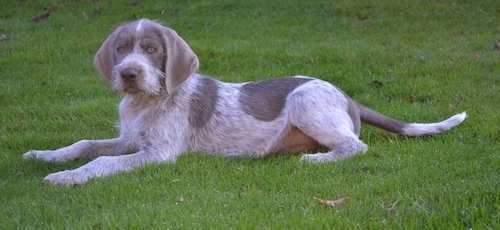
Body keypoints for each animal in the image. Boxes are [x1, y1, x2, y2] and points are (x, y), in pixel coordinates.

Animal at [23, 18, 466, 186]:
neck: (144, 103)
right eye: (121, 50)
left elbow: (100, 161)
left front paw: (66, 177)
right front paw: (46, 156)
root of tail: (349, 97)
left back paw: (316, 160)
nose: (129, 74)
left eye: (151, 49)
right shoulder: (132, 139)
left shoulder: (158, 153)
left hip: (305, 100)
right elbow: (85, 144)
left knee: (355, 146)